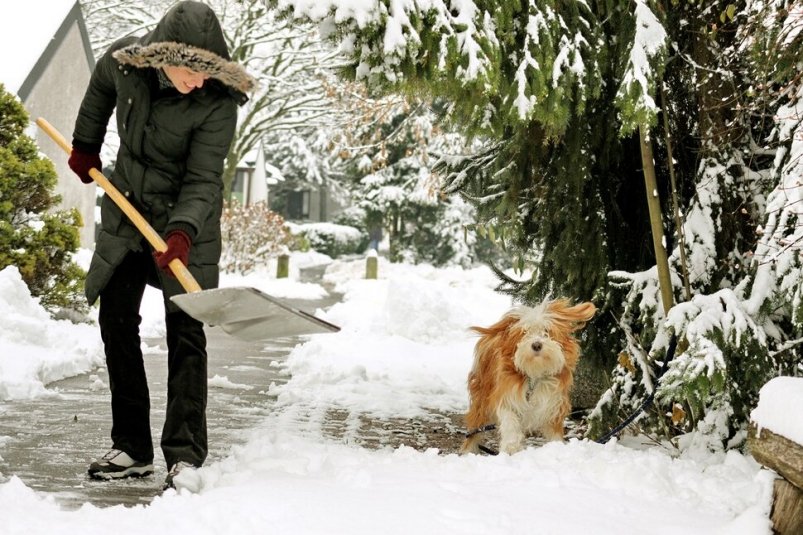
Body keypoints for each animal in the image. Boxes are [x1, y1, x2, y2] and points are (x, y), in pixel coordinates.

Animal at [458, 300, 596, 454]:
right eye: (524, 332)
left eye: (546, 331)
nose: (536, 345)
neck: (534, 376)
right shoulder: (506, 395)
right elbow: (510, 422)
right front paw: (511, 448)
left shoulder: (554, 403)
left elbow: (554, 431)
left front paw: (556, 447)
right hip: (481, 399)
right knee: (474, 429)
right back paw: (467, 451)